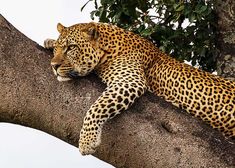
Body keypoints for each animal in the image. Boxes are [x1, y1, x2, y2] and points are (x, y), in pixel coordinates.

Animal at [43, 22, 233, 155]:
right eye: (59, 48)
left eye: (71, 48)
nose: (53, 66)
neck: (107, 46)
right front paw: (49, 41)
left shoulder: (130, 80)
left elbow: (97, 108)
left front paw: (87, 141)